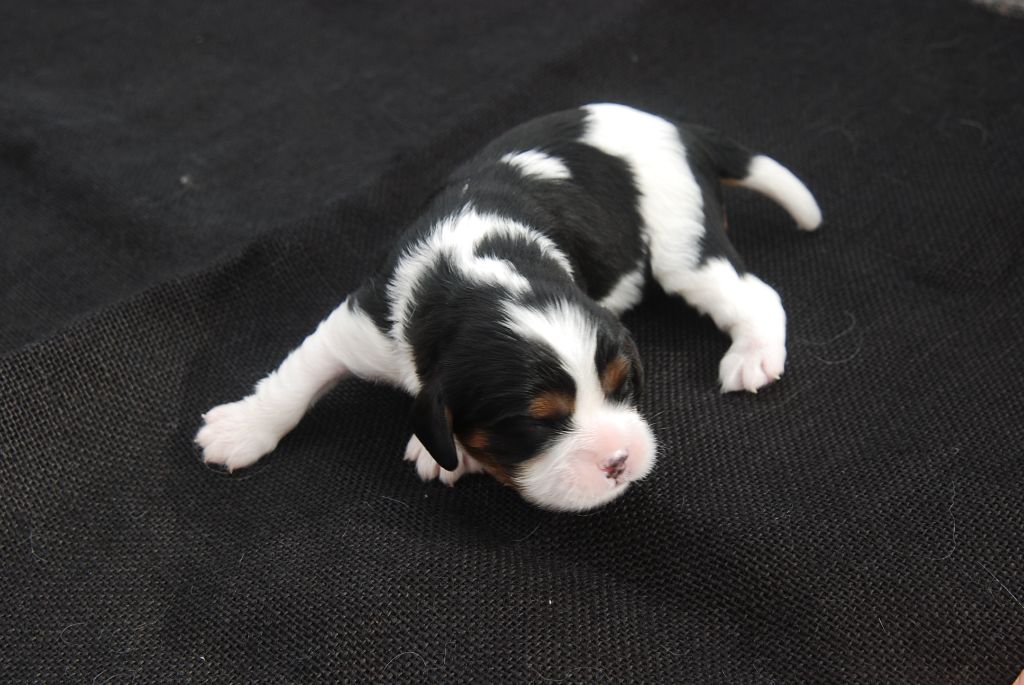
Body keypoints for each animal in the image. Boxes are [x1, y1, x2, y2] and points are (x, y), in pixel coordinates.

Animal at [195, 103, 821, 512]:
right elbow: (295, 379)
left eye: (624, 386)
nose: (619, 460)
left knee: (754, 294)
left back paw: (754, 354)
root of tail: (678, 128)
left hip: (680, 239)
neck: (480, 268)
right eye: (534, 423)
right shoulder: (363, 321)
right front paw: (242, 430)